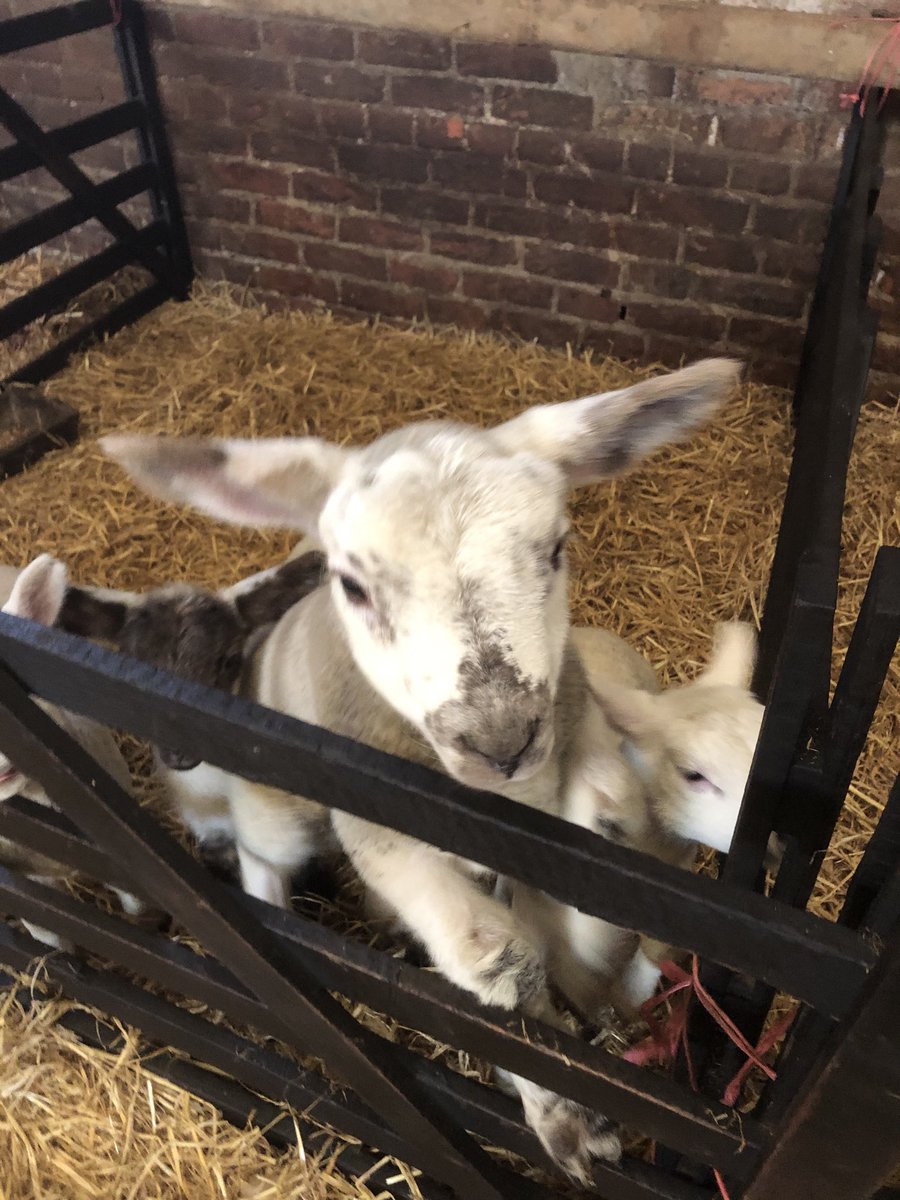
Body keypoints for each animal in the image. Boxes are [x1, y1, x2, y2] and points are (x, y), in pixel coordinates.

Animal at [101, 356, 740, 1179]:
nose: (500, 739)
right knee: (262, 865)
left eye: (556, 548)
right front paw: (569, 1121)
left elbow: (592, 834)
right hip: (277, 812)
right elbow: (496, 962)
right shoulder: (379, 830)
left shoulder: (563, 750)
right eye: (352, 584)